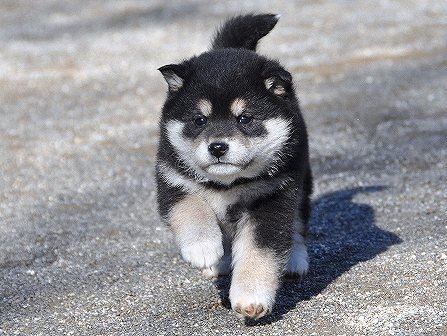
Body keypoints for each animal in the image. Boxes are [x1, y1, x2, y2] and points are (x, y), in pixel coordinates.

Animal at [154, 14, 312, 318]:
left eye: (245, 118)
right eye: (199, 120)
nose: (217, 147)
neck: (228, 184)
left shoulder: (271, 196)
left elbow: (259, 252)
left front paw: (251, 298)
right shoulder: (172, 179)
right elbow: (190, 208)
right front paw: (202, 248)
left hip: (302, 176)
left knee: (298, 219)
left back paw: (294, 259)